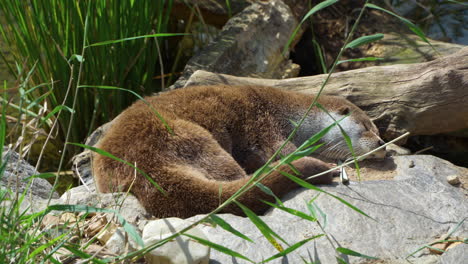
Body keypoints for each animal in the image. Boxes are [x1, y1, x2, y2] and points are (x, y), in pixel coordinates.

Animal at [93, 85, 386, 218]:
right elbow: (283, 151)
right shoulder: (265, 124)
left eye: (379, 130)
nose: (382, 144)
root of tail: (141, 168)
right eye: (366, 127)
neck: (290, 114)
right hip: (193, 138)